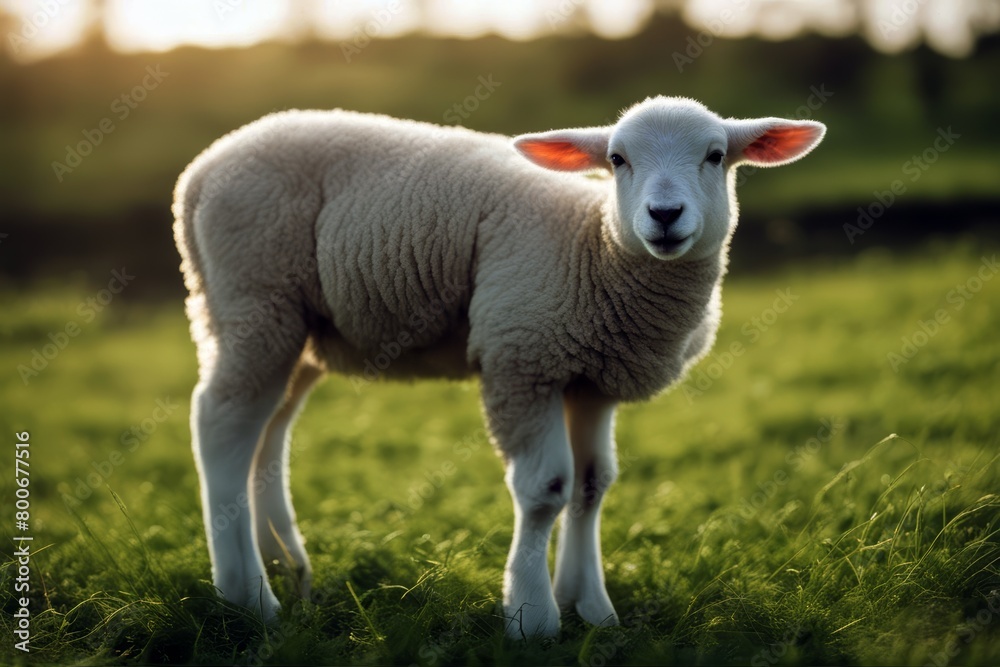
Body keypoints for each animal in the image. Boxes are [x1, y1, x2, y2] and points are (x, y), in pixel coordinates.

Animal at [172, 96, 825, 638]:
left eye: (716, 155)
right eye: (617, 159)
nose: (665, 215)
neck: (592, 249)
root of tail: (197, 174)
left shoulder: (591, 380)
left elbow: (593, 485)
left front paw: (589, 606)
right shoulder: (522, 357)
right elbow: (546, 490)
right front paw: (532, 616)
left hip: (298, 331)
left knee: (267, 433)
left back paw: (286, 567)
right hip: (255, 299)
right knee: (221, 424)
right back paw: (249, 597)